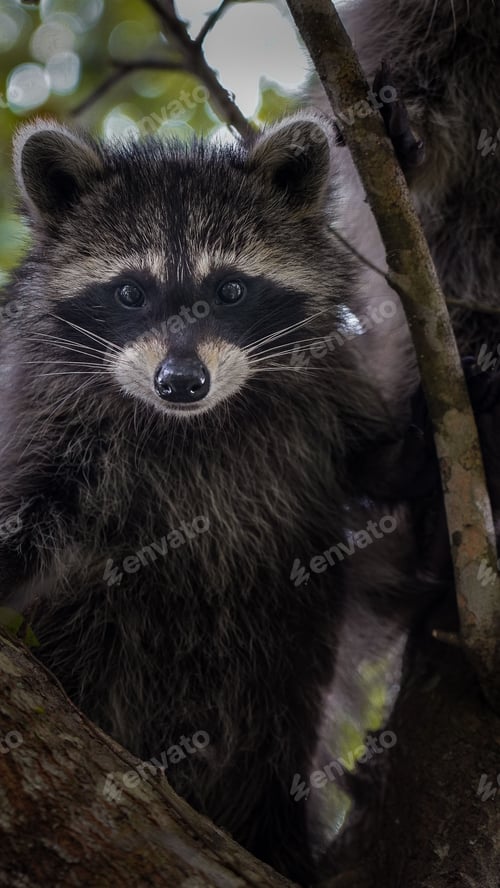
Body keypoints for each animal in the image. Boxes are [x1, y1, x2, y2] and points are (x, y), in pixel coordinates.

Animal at [0, 115, 430, 884]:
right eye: (131, 293)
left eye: (231, 290)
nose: (180, 382)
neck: (192, 425)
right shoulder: (53, 423)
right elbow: (35, 512)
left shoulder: (327, 399)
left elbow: (372, 472)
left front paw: (417, 445)